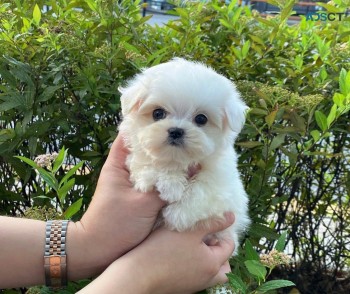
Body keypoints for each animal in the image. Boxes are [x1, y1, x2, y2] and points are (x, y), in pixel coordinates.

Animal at [119, 58, 250, 252]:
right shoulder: (137, 156)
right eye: (158, 113)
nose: (176, 131)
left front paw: (177, 214)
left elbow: (203, 189)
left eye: (201, 119)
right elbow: (149, 164)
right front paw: (170, 184)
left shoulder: (225, 186)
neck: (178, 158)